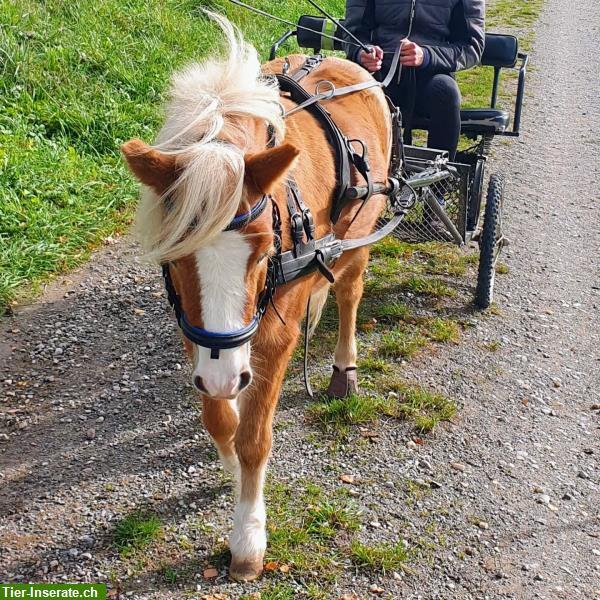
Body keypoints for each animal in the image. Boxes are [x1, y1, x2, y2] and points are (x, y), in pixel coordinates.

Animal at [122, 14, 394, 580]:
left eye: (267, 248)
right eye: (174, 255)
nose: (226, 376)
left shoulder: (269, 340)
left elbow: (254, 436)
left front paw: (247, 534)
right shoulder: (197, 332)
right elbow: (219, 417)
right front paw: (226, 456)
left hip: (362, 235)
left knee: (349, 293)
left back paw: (343, 367)